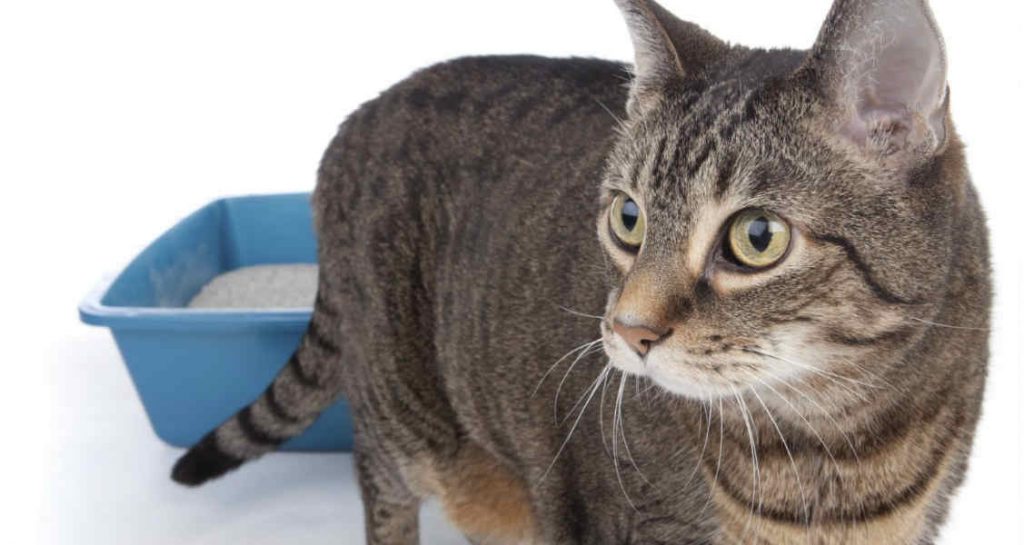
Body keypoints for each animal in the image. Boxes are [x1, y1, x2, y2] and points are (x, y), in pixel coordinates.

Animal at [172, 2, 987, 540]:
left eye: (757, 237)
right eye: (628, 218)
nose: (627, 330)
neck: (832, 444)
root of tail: (356, 117)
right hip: (399, 408)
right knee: (382, 486)